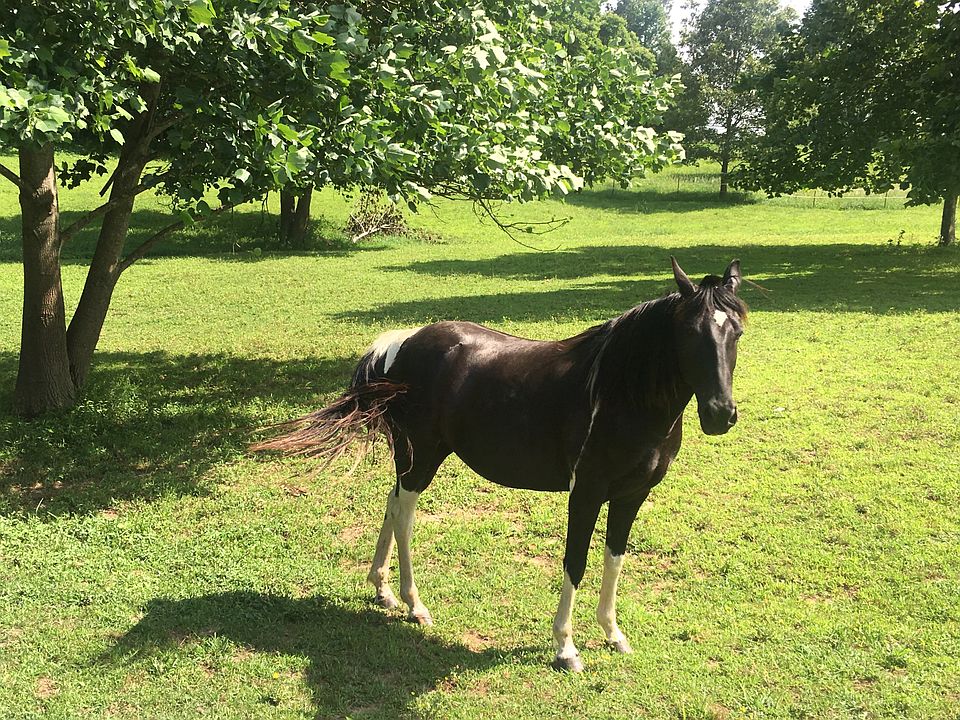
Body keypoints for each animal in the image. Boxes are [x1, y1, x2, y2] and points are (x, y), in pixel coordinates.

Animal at [253, 257, 746, 672]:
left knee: (391, 504)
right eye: (690, 332)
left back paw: (383, 589)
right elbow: (576, 561)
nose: (720, 415)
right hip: (421, 459)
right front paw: (566, 648)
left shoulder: (631, 496)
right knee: (405, 516)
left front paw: (612, 634)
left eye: (737, 331)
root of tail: (403, 343)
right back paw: (415, 604)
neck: (621, 394)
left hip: (412, 459)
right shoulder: (586, 494)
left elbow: (615, 559)